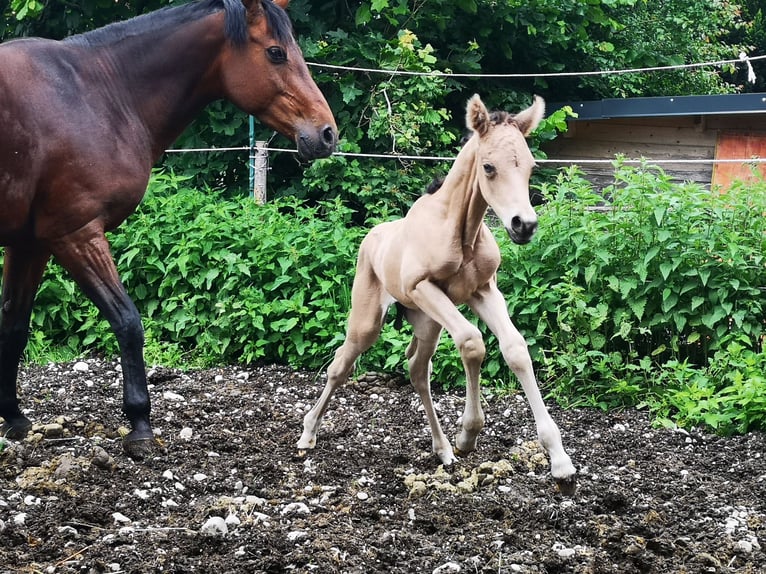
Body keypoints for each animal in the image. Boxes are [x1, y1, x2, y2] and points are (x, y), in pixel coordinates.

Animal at [0, 0, 336, 460]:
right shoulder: (76, 234)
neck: (94, 94)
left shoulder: (29, 243)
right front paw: (139, 423)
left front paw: (13, 418)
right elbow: (127, 321)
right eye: (275, 53)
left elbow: (14, 325)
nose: (327, 133)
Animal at [300, 97, 576, 492]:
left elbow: (515, 349)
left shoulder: (483, 290)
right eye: (488, 167)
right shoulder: (424, 287)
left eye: (530, 166)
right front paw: (468, 435)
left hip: (426, 322)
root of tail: (371, 237)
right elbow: (472, 342)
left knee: (417, 370)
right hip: (369, 320)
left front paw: (561, 462)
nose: (523, 225)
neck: (460, 230)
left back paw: (441, 449)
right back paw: (308, 433)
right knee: (341, 365)